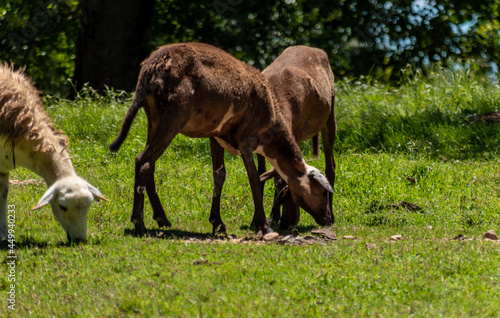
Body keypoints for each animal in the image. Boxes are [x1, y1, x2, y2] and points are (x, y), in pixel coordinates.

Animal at [0, 63, 108, 242]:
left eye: (89, 205)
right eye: (62, 207)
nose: (80, 240)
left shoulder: (4, 165)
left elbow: (3, 195)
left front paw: (3, 234)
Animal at [111, 42, 334, 235]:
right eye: (323, 192)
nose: (327, 218)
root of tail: (150, 69)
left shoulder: (215, 137)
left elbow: (219, 175)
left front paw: (217, 223)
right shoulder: (246, 140)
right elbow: (254, 178)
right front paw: (265, 226)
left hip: (153, 118)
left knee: (150, 163)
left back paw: (162, 219)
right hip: (172, 118)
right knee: (144, 161)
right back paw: (139, 223)